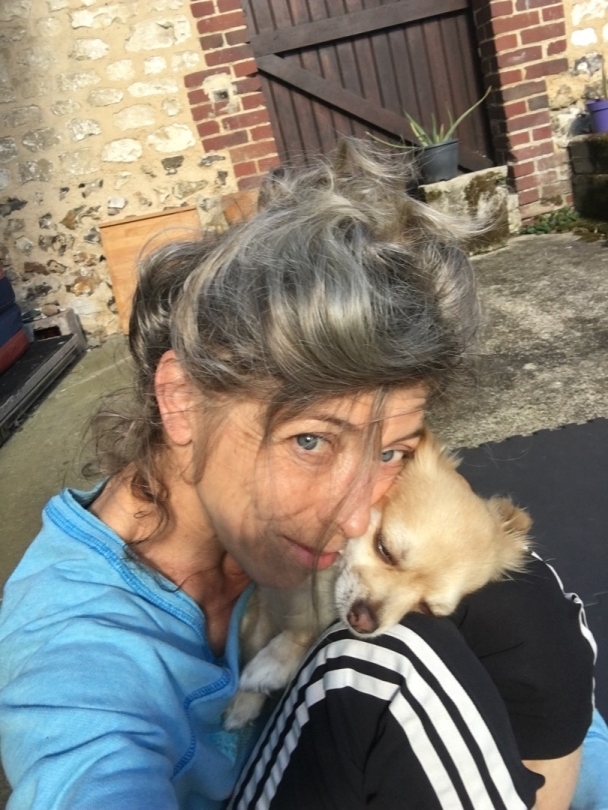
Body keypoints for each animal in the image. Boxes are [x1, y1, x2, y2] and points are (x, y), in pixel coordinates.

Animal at [224, 430, 531, 730]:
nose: (364, 622)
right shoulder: (264, 593)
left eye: (426, 608)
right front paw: (243, 702)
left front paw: (270, 667)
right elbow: (256, 637)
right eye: (384, 548)